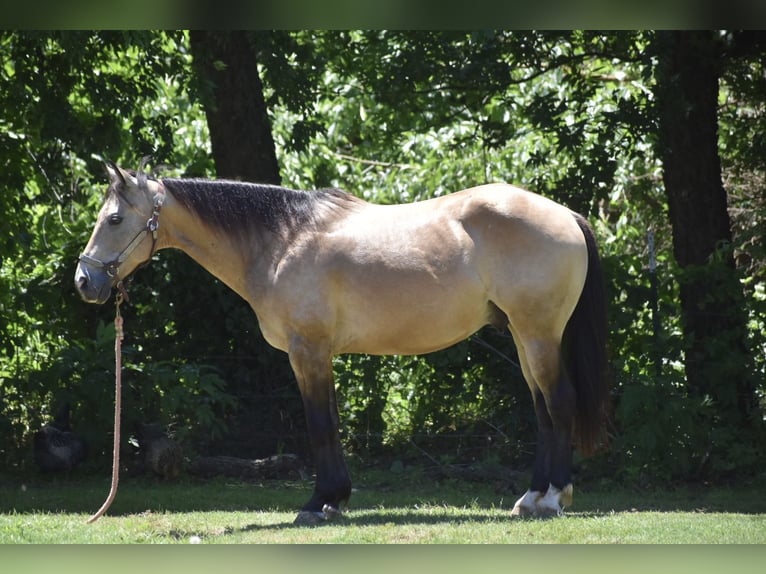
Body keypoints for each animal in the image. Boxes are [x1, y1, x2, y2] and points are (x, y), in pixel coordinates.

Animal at [75, 160, 608, 524]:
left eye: (114, 219)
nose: (84, 281)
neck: (282, 241)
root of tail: (566, 215)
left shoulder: (307, 352)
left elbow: (320, 426)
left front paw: (319, 503)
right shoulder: (319, 355)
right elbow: (329, 423)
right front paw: (336, 499)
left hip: (538, 333)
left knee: (559, 403)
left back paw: (553, 498)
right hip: (523, 336)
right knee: (543, 411)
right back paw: (531, 497)